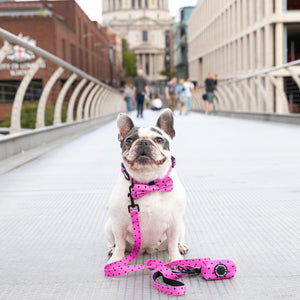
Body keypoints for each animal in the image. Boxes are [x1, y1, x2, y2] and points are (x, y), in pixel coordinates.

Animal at [105, 109, 189, 262]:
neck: (148, 183)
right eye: (129, 140)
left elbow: (172, 244)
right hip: (109, 226)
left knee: (177, 241)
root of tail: (146, 249)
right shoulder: (118, 224)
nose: (143, 141)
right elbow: (119, 244)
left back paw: (181, 246)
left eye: (159, 139)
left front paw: (175, 259)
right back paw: (112, 250)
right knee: (114, 243)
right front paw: (116, 259)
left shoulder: (175, 223)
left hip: (181, 226)